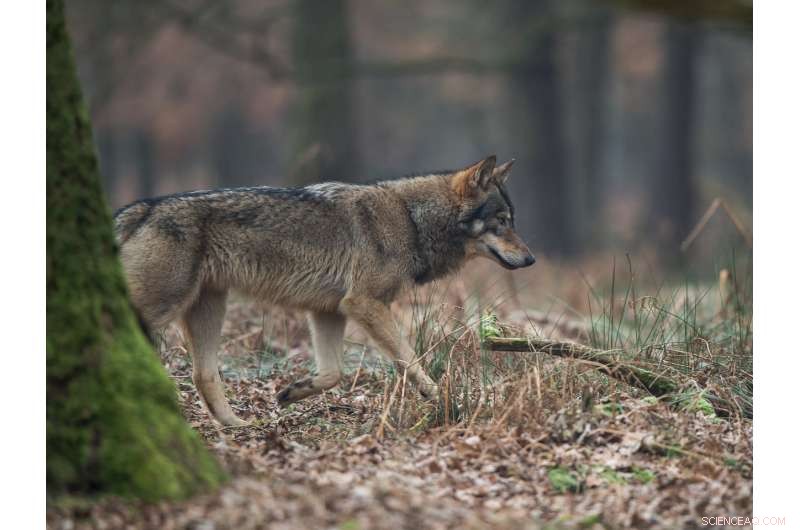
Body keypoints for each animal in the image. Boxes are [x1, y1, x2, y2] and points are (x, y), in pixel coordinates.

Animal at [114, 155, 535, 426]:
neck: (411, 220)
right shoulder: (364, 304)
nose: (531, 259)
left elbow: (332, 374)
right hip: (161, 307)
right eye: (502, 221)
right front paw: (441, 398)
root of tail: (143, 208)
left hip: (208, 309)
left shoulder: (329, 311)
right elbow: (409, 359)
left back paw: (239, 426)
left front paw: (291, 392)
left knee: (203, 375)